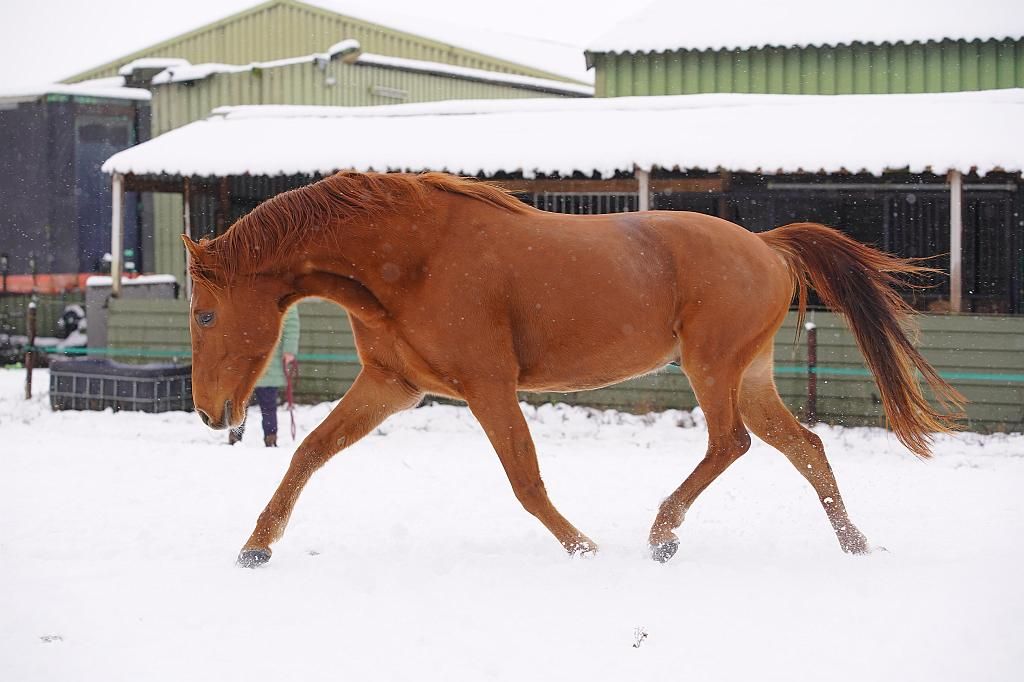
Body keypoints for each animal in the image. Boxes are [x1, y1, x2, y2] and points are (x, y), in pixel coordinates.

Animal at [182, 171, 964, 568]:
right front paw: (256, 546)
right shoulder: (392, 386)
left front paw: (582, 546)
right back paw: (854, 543)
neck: (410, 259)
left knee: (731, 443)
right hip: (748, 373)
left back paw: (663, 534)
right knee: (803, 447)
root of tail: (769, 245)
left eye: (205, 316)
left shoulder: (487, 385)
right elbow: (309, 452)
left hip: (713, 367)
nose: (209, 413)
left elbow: (525, 480)